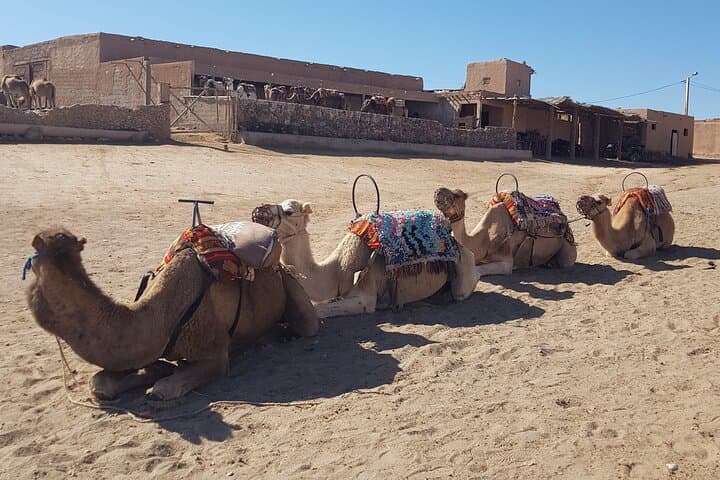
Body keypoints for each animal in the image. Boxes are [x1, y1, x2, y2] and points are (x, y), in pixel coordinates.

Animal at [25, 226, 318, 401]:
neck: (161, 316)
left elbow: (164, 390)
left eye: (32, 264)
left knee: (306, 324)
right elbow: (99, 384)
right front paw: (156, 369)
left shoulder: (214, 352)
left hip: (291, 286)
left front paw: (160, 378)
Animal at [252, 200, 478, 318]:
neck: (337, 269)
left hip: (463, 276)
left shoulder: (365, 297)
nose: (257, 212)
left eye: (289, 211)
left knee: (460, 292)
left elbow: (320, 311)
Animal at [434, 187, 577, 276]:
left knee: (566, 262)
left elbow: (479, 269)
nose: (437, 191)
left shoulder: (506, 260)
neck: (482, 240)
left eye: (457, 194)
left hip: (568, 249)